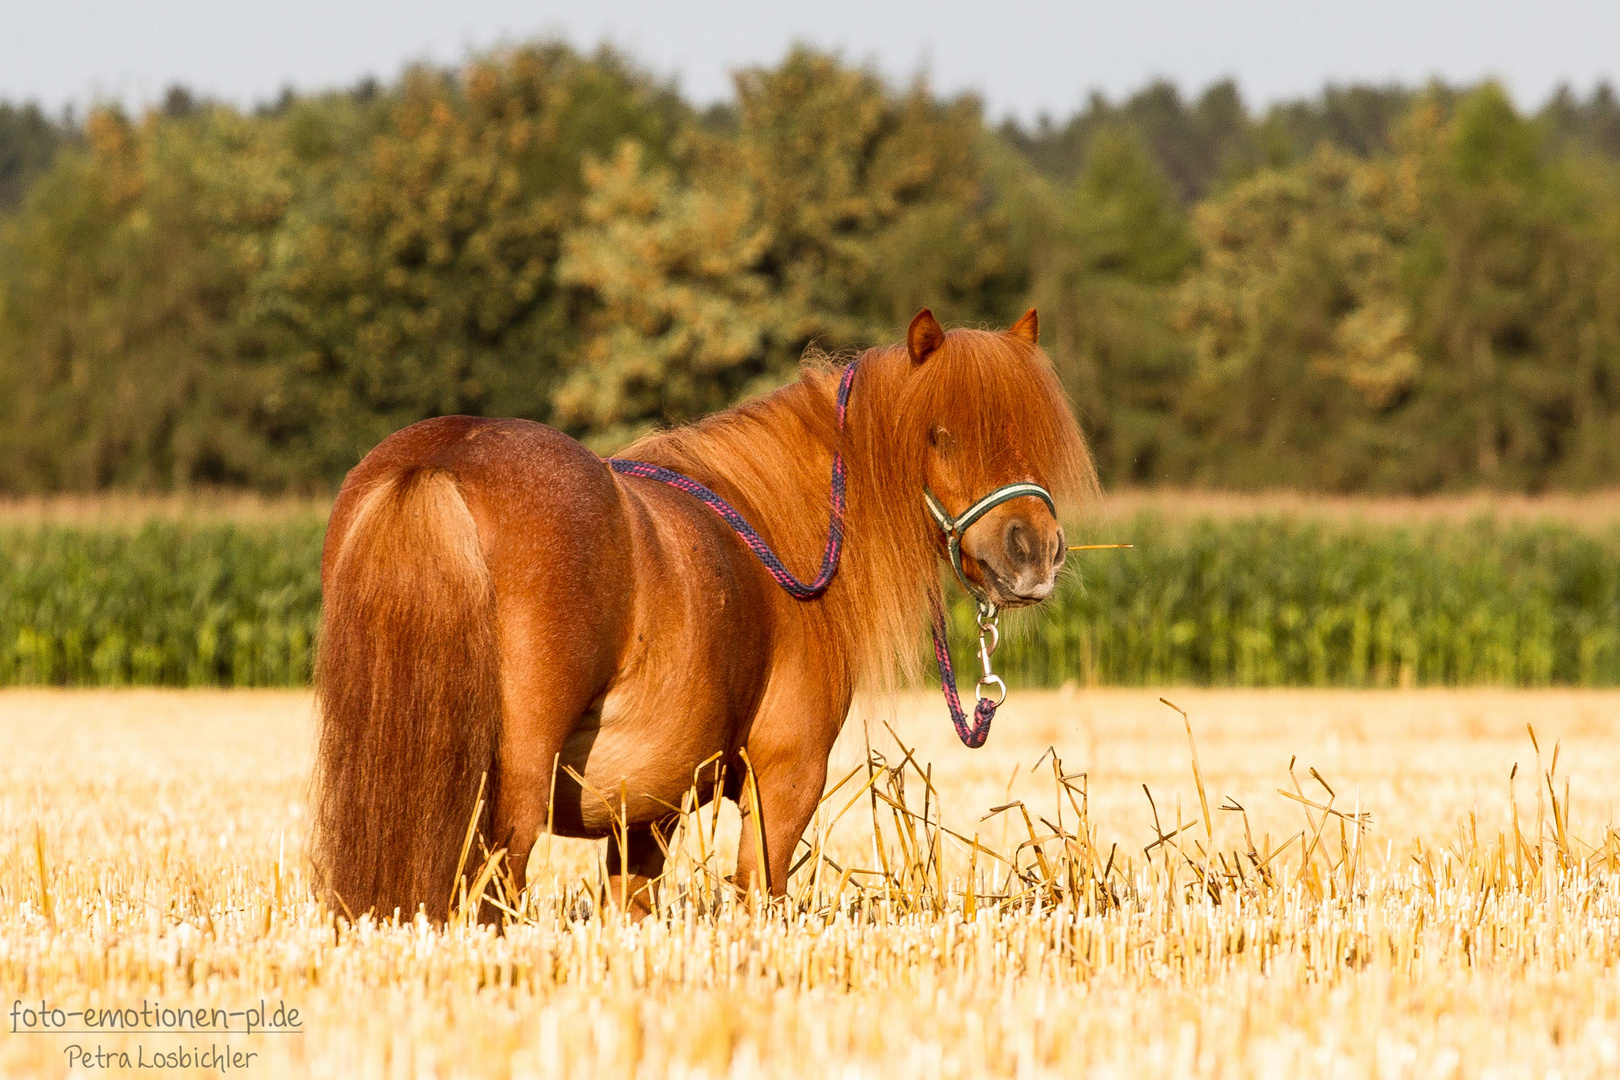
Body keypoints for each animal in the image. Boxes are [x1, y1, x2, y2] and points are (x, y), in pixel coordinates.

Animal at [309, 310, 1095, 919]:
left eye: (1030, 432)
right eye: (939, 434)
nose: (1033, 552)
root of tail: (441, 464)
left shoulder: (643, 815)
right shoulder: (783, 780)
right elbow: (757, 898)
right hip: (505, 811)